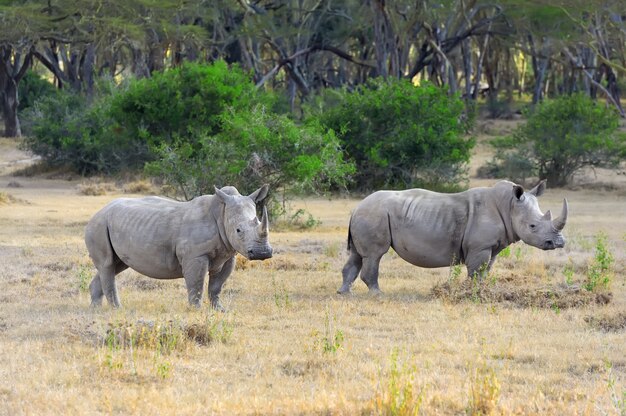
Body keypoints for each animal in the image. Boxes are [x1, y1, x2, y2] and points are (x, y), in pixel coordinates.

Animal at [84, 185, 270, 308]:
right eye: (238, 230)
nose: (262, 253)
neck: (221, 213)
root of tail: (98, 212)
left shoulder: (228, 254)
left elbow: (217, 286)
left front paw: (219, 310)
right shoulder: (195, 255)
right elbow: (196, 284)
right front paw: (196, 310)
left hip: (111, 225)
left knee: (115, 265)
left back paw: (96, 309)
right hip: (99, 225)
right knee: (107, 265)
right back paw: (117, 309)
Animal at [336, 180, 564, 294]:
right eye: (533, 226)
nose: (559, 243)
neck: (508, 206)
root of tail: (356, 208)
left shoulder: (492, 247)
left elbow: (485, 271)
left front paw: (482, 291)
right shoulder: (480, 247)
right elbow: (476, 271)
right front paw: (471, 294)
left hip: (368, 214)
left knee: (357, 255)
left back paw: (344, 293)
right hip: (374, 214)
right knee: (374, 255)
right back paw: (377, 294)